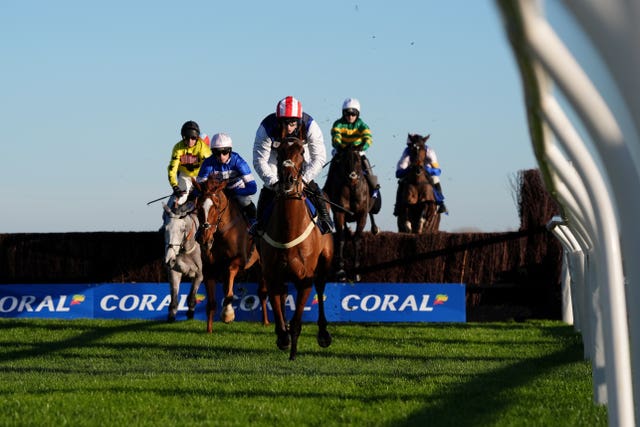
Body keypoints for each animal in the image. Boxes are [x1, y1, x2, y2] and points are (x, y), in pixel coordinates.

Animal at [192, 177, 268, 334]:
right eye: (198, 207)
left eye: (215, 206)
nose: (204, 237)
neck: (221, 233)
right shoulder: (209, 268)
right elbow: (212, 302)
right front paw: (209, 330)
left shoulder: (238, 261)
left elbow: (229, 291)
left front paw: (228, 314)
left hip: (261, 265)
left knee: (263, 292)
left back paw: (266, 322)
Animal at [256, 137, 336, 362]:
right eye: (279, 152)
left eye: (301, 151)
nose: (288, 180)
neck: (288, 231)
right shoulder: (272, 275)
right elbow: (278, 310)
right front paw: (283, 338)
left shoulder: (305, 278)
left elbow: (298, 321)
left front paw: (293, 352)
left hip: (324, 264)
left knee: (321, 287)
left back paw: (323, 334)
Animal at [324, 145, 380, 284]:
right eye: (345, 161)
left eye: (358, 160)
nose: (352, 176)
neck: (352, 189)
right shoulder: (339, 213)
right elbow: (341, 238)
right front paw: (340, 271)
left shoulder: (362, 214)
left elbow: (356, 239)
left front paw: (356, 272)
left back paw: (375, 228)